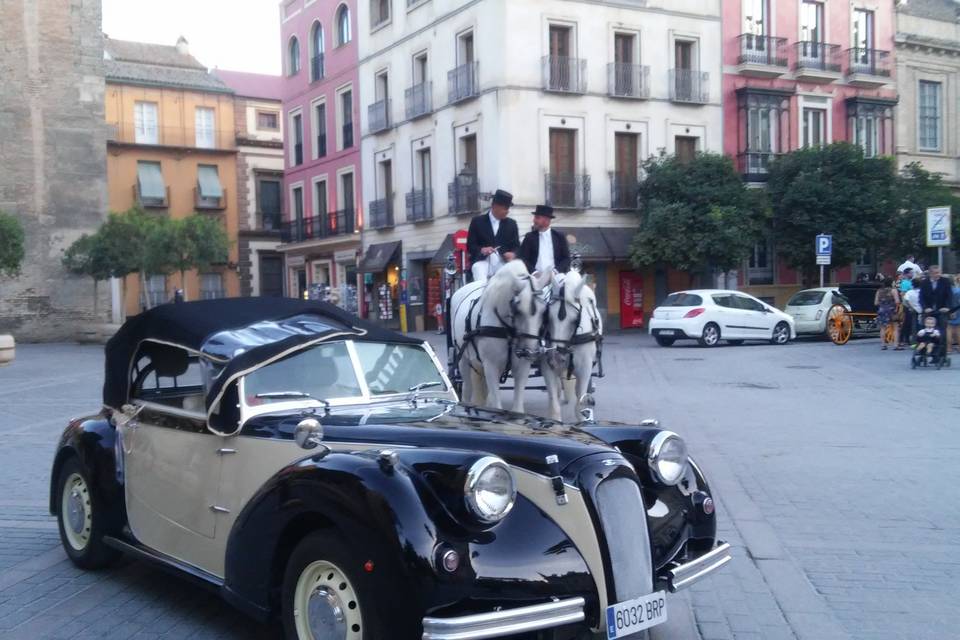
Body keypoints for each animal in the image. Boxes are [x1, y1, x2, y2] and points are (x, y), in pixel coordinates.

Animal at [454, 262, 552, 412]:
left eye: (544, 311)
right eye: (518, 310)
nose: (531, 352)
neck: (508, 330)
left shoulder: (522, 367)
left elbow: (517, 407)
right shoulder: (491, 366)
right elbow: (496, 405)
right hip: (463, 359)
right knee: (467, 389)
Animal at [544, 272, 604, 424]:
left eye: (575, 319)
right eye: (548, 316)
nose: (556, 357)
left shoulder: (584, 369)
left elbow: (579, 404)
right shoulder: (547, 366)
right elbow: (554, 403)